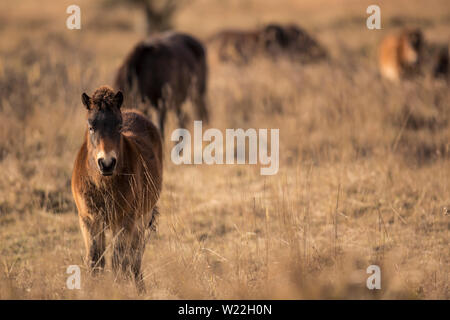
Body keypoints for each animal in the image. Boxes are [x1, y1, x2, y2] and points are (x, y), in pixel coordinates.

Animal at [70, 85, 162, 292]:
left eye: (119, 127)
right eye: (91, 127)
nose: (106, 163)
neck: (102, 184)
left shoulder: (125, 221)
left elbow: (119, 261)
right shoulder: (89, 220)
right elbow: (95, 261)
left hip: (142, 218)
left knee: (135, 255)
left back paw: (139, 287)